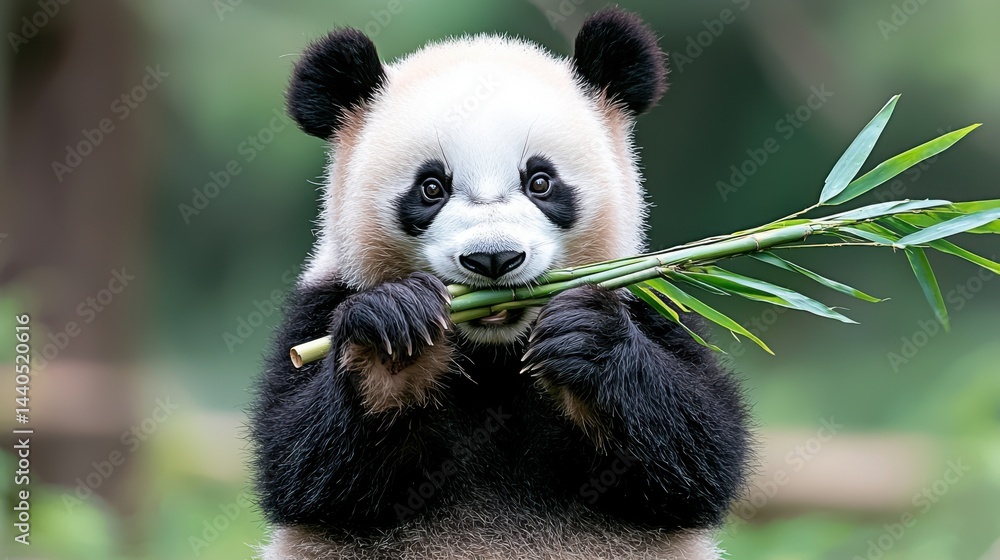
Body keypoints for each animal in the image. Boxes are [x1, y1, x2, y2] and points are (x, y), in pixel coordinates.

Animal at [251, 8, 750, 560]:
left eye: (540, 182)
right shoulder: (324, 300)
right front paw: (393, 336)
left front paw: (587, 342)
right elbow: (300, 460)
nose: (493, 258)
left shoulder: (646, 299)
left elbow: (702, 453)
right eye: (431, 187)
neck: (494, 353)